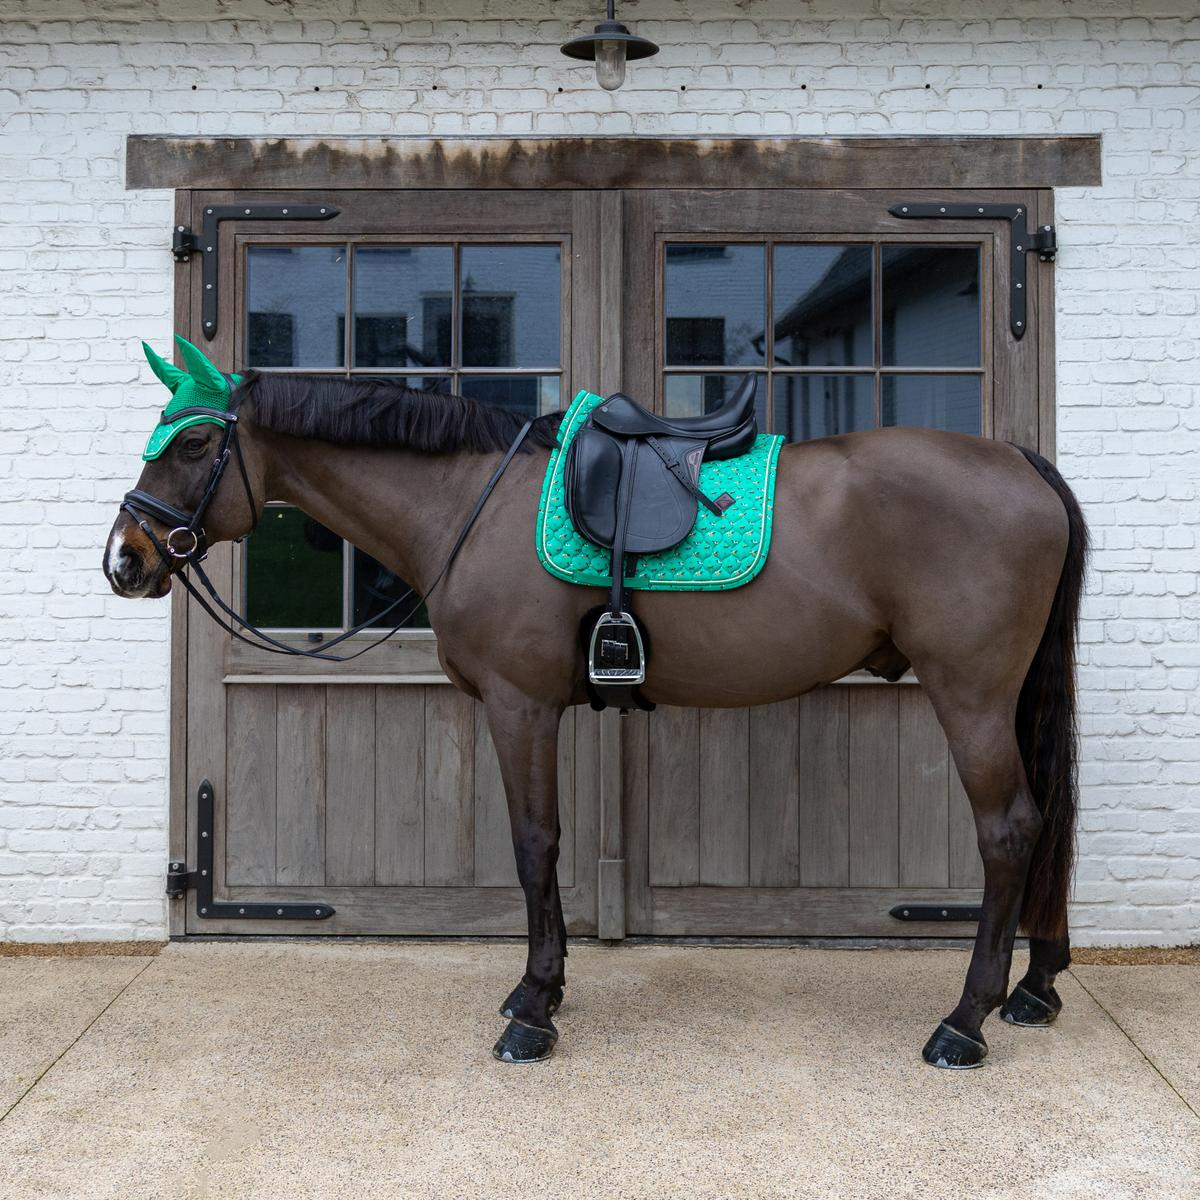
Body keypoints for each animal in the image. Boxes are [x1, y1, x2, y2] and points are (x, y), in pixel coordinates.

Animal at [105, 340, 1087, 1069]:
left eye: (192, 445)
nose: (126, 558)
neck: (469, 502)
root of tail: (1018, 460)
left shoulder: (521, 706)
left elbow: (535, 843)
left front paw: (534, 1012)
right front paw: (540, 987)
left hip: (970, 695)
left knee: (1009, 831)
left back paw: (964, 1022)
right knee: (1045, 821)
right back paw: (1036, 988)